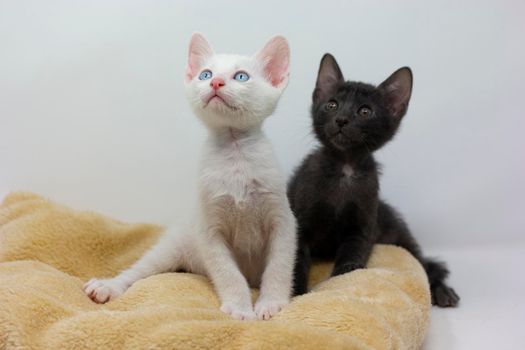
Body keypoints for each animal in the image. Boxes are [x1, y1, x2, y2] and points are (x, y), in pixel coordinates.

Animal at [81, 34, 294, 322]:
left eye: (241, 76)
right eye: (205, 74)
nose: (216, 82)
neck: (235, 154)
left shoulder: (283, 220)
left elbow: (279, 266)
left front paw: (271, 303)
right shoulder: (208, 229)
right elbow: (228, 274)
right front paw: (240, 308)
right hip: (174, 244)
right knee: (141, 270)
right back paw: (108, 286)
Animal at [286, 53, 458, 308]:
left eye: (365, 111)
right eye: (332, 104)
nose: (341, 120)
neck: (345, 168)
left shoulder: (361, 227)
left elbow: (351, 259)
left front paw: (338, 286)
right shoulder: (299, 224)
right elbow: (295, 262)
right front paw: (294, 296)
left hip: (397, 232)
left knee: (424, 263)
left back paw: (442, 290)